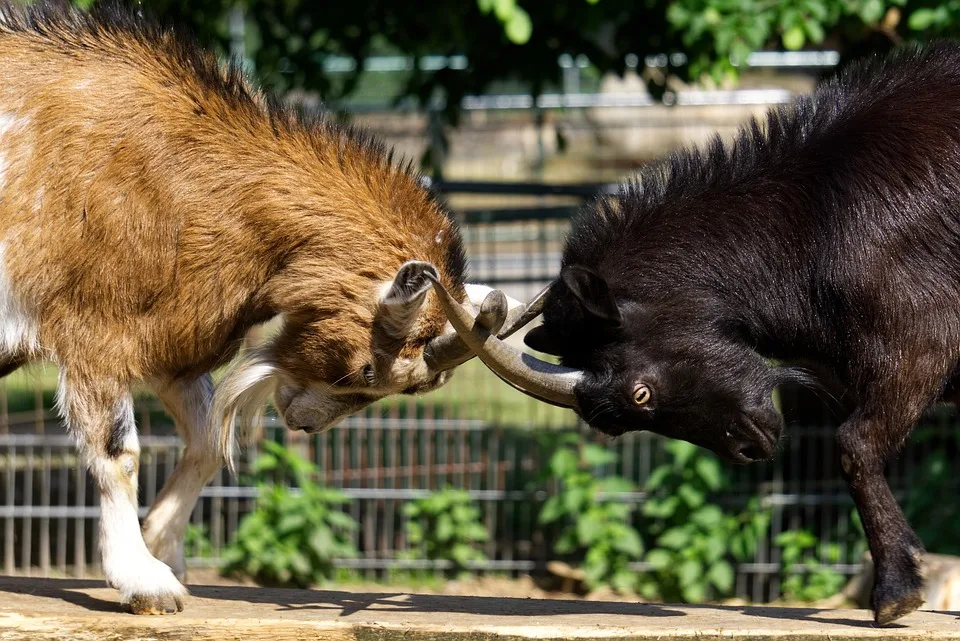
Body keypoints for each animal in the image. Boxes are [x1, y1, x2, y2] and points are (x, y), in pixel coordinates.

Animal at [0, 0, 496, 608]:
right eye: (364, 370)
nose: (303, 424)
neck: (188, 175)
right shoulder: (95, 331)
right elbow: (120, 453)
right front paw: (144, 580)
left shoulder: (171, 337)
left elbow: (210, 442)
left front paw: (164, 548)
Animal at [430, 42, 960, 624]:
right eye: (610, 426)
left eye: (640, 393)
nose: (749, 448)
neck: (811, 222)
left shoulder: (921, 340)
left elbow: (853, 443)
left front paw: (895, 593)